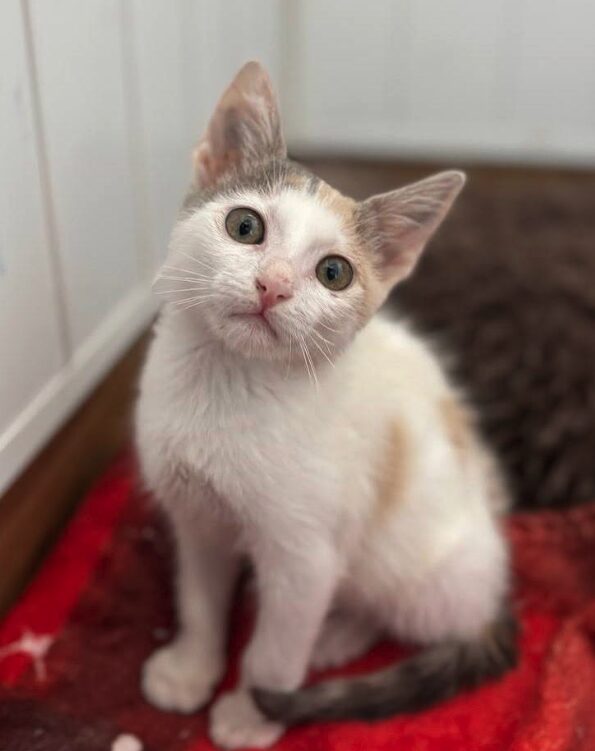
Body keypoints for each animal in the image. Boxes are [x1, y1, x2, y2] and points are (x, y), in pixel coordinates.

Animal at [135, 61, 516, 748]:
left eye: (333, 273)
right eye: (245, 227)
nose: (274, 285)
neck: (226, 388)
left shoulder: (304, 556)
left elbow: (274, 647)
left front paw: (249, 712)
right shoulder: (196, 516)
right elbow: (199, 599)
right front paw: (190, 671)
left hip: (413, 564)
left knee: (389, 609)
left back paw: (333, 638)